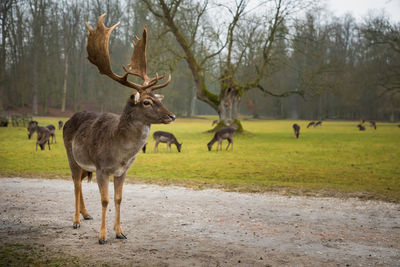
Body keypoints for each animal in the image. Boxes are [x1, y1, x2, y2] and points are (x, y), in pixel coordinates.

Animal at [62, 14, 173, 245]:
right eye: (147, 102)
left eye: (158, 99)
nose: (172, 116)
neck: (120, 153)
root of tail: (69, 119)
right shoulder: (102, 167)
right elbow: (105, 200)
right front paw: (102, 236)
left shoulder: (123, 171)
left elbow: (119, 198)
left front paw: (120, 232)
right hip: (70, 155)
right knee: (76, 184)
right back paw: (76, 220)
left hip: (84, 163)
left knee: (81, 184)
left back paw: (86, 214)